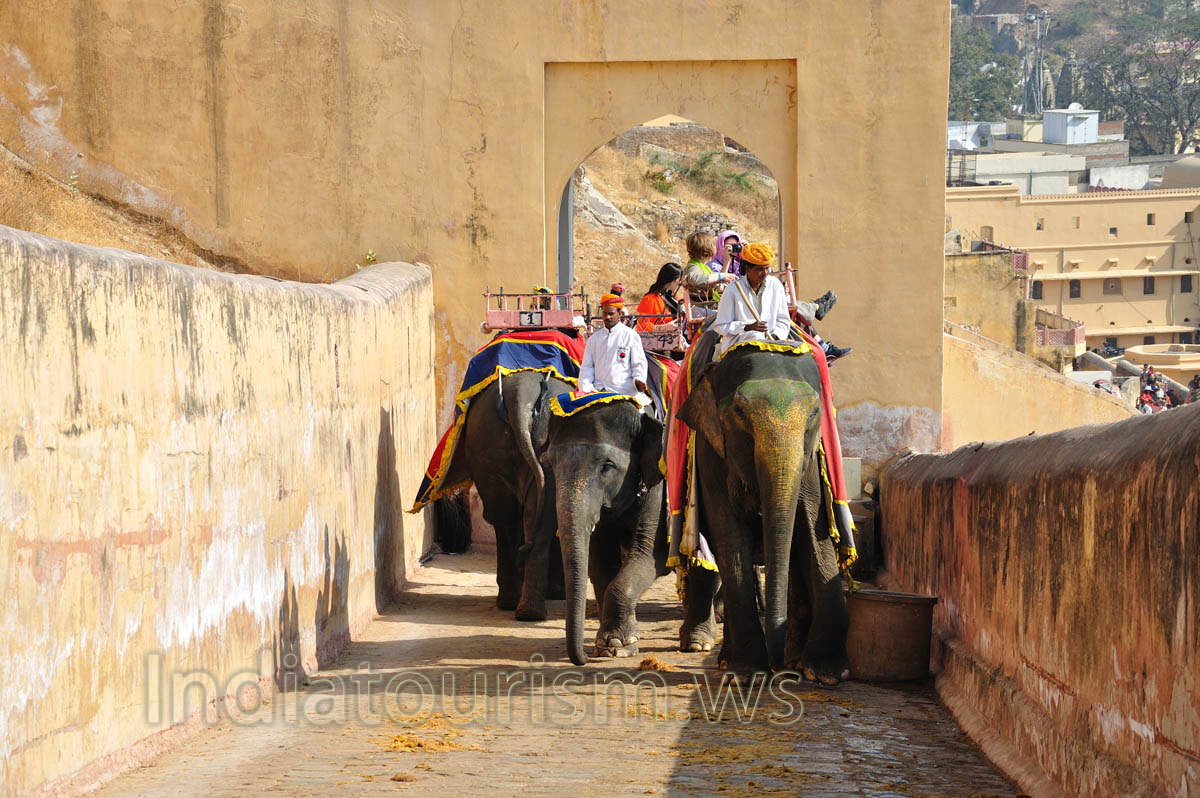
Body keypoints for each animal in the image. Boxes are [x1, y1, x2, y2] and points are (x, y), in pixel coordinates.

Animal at [439, 370, 568, 615]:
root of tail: (521, 393)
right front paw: (556, 594)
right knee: (541, 518)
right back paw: (530, 610)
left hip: (487, 443)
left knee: (507, 518)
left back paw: (515, 606)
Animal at [677, 343, 851, 683]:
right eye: (739, 413)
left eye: (814, 414)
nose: (778, 665)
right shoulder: (711, 453)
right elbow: (730, 540)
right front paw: (747, 675)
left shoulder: (812, 458)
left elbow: (813, 529)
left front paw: (825, 674)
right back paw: (721, 658)